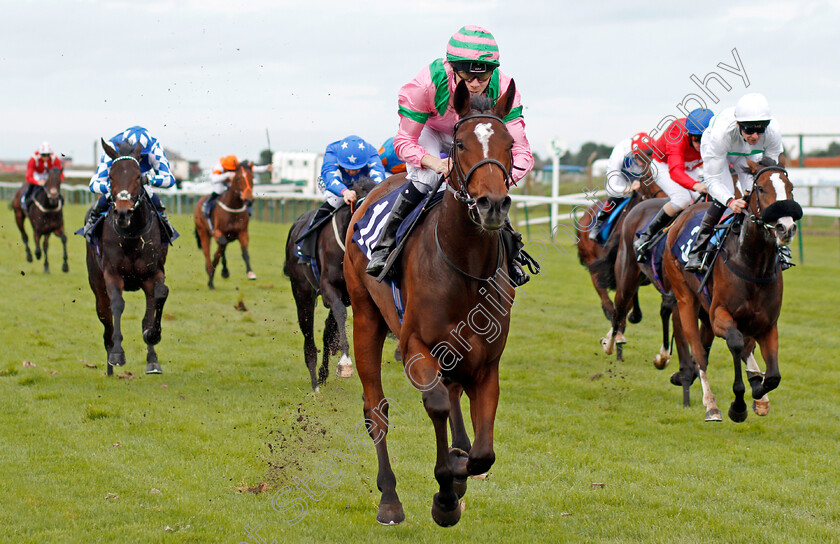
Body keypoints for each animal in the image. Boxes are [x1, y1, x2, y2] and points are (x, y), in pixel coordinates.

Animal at [85, 140, 171, 376]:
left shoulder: (152, 274)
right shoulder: (112, 274)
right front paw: (117, 354)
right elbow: (117, 305)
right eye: (111, 176)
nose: (123, 213)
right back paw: (109, 366)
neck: (132, 234)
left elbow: (158, 299)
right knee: (106, 320)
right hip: (96, 284)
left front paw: (153, 345)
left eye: (137, 176)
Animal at [194, 160, 256, 288]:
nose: (249, 200)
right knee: (208, 255)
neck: (233, 207)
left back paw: (211, 278)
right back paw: (211, 279)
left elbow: (245, 253)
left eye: (252, 177)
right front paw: (225, 272)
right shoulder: (218, 232)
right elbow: (222, 248)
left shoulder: (242, 233)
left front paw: (250, 272)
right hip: (203, 232)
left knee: (217, 254)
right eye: (238, 178)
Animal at [282, 178, 378, 392]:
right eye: (360, 206)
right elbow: (340, 315)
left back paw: (322, 374)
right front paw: (345, 362)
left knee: (326, 330)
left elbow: (332, 328)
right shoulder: (329, 288)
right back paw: (314, 383)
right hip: (302, 292)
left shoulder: (351, 293)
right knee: (308, 333)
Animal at [342, 81, 516, 528]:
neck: (464, 267)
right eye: (459, 144)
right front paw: (445, 494)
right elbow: (436, 405)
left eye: (510, 143)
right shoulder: (415, 347)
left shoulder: (487, 362)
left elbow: (483, 452)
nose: (492, 204)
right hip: (366, 318)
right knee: (376, 410)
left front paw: (457, 474)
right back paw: (389, 499)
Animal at [664, 159, 800, 422]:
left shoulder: (767, 324)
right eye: (761, 189)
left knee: (711, 350)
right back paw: (711, 405)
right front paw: (738, 406)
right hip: (685, 299)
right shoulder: (720, 315)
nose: (785, 228)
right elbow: (736, 343)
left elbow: (773, 376)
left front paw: (758, 390)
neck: (753, 263)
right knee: (699, 353)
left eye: (790, 188)